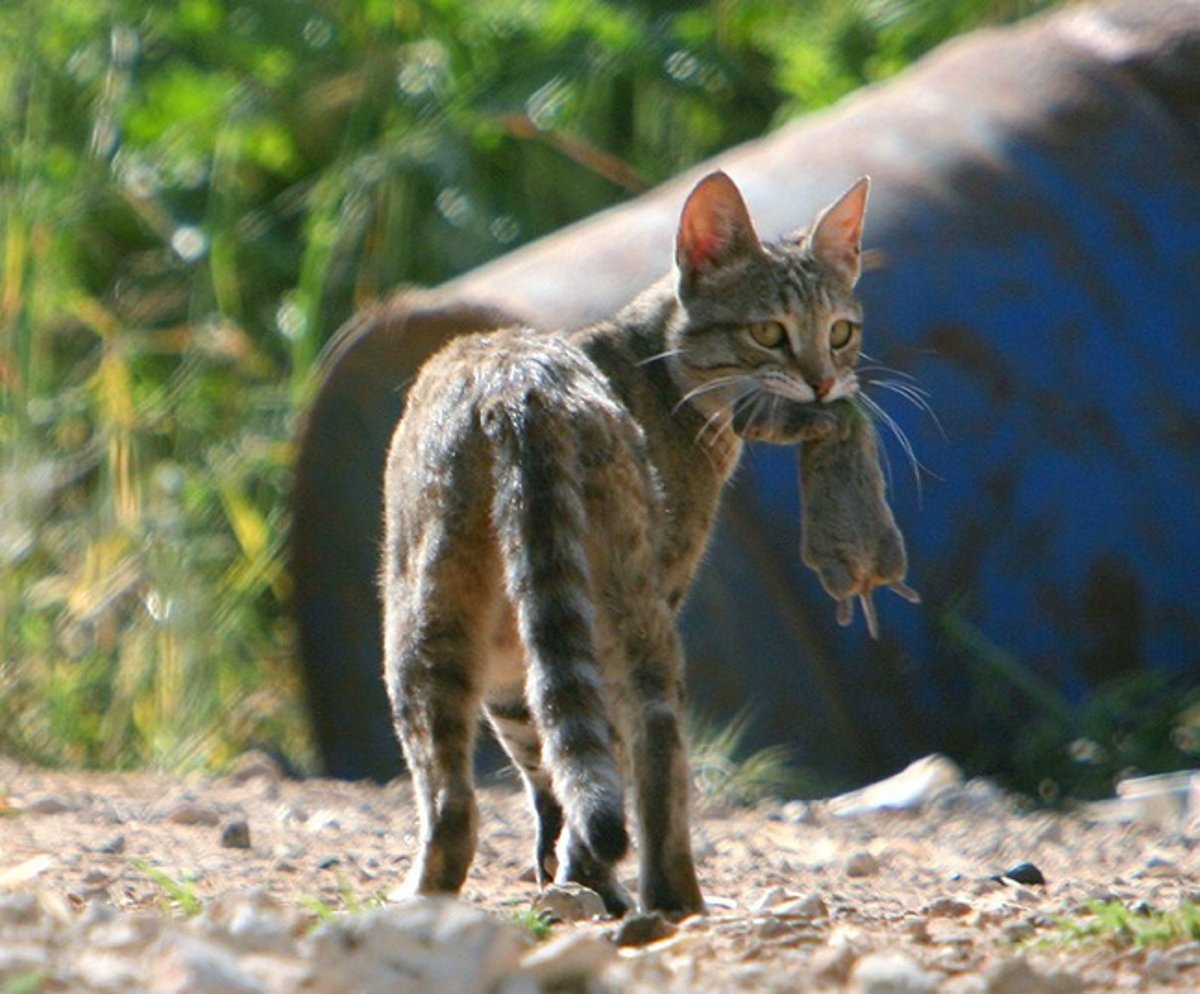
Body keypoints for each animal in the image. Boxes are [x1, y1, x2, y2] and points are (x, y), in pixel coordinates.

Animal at [379, 170, 912, 917]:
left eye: (840, 332)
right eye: (768, 333)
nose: (825, 383)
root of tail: (519, 387)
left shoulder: (520, 664)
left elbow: (553, 766)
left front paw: (567, 872)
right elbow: (563, 769)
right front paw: (572, 873)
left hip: (435, 619)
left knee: (462, 798)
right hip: (598, 605)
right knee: (646, 754)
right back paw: (668, 899)